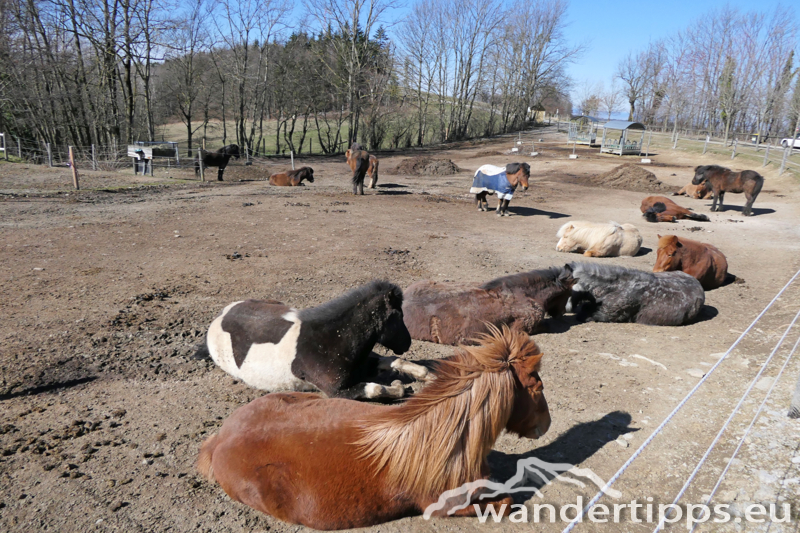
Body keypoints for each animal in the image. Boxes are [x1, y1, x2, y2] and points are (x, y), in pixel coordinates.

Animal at [197, 324, 552, 528]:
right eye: (535, 382)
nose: (546, 424)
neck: (440, 445)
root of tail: (219, 440)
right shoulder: (445, 506)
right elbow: (505, 502)